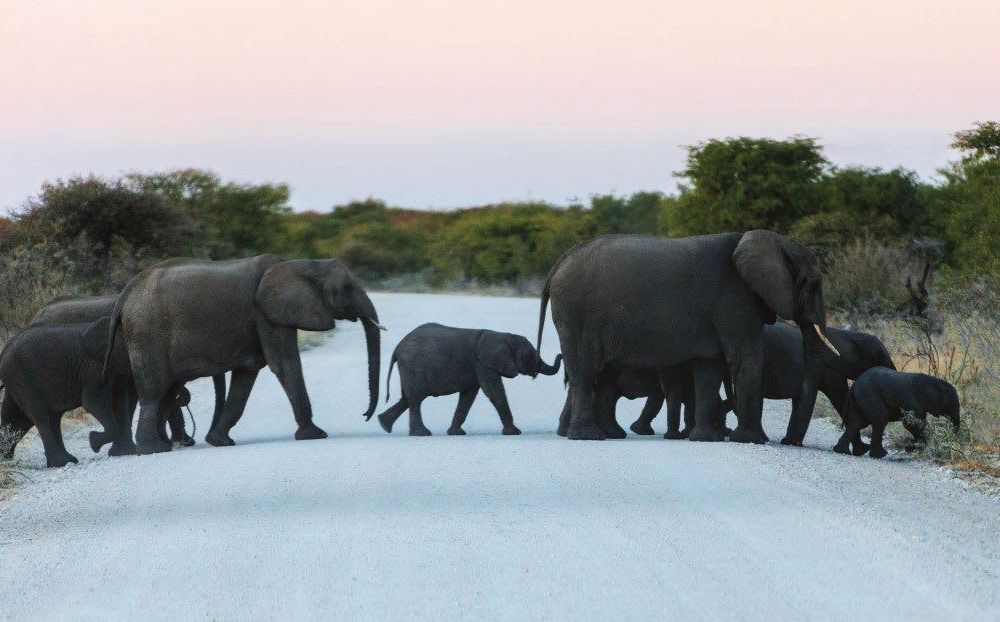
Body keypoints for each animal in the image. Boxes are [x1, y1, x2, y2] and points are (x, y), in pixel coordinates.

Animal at [103, 256, 380, 456]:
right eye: (347, 288)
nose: (365, 416)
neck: (300, 263)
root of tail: (126, 293)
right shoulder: (268, 315)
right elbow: (284, 364)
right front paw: (315, 435)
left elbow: (248, 374)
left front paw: (219, 441)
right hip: (147, 333)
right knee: (155, 391)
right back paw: (152, 450)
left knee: (167, 392)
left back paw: (163, 446)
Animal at [374, 324, 564, 436]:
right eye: (531, 356)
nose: (561, 354)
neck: (504, 336)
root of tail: (397, 348)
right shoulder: (483, 364)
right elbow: (494, 392)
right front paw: (514, 433)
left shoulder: (478, 366)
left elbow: (468, 396)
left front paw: (456, 433)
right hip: (413, 367)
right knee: (415, 399)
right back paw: (422, 434)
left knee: (407, 398)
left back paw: (384, 425)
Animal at [540, 233, 836, 444]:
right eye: (813, 285)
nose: (788, 442)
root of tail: (558, 264)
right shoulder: (735, 299)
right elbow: (746, 358)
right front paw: (750, 440)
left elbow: (709, 367)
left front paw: (707, 439)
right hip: (576, 314)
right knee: (584, 370)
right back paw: (588, 436)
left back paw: (608, 434)